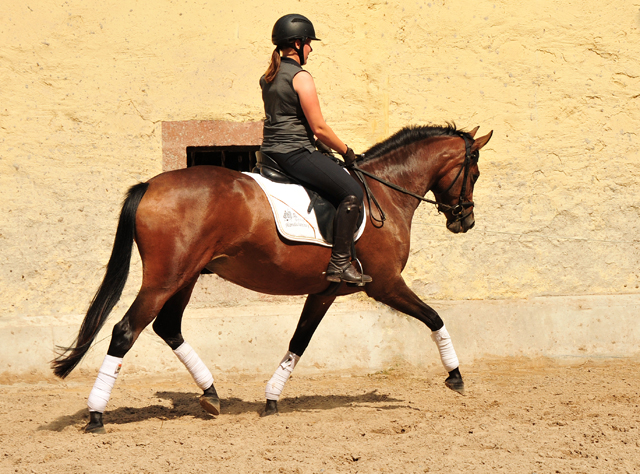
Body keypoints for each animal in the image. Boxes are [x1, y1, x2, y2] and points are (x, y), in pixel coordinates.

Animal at [52, 122, 492, 434]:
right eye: (474, 172)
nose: (465, 221)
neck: (383, 193)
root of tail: (150, 185)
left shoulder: (325, 291)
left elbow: (299, 341)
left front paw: (271, 398)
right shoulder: (385, 284)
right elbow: (434, 317)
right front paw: (455, 375)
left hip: (187, 277)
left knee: (168, 327)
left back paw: (211, 394)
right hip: (165, 279)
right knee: (126, 331)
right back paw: (96, 415)